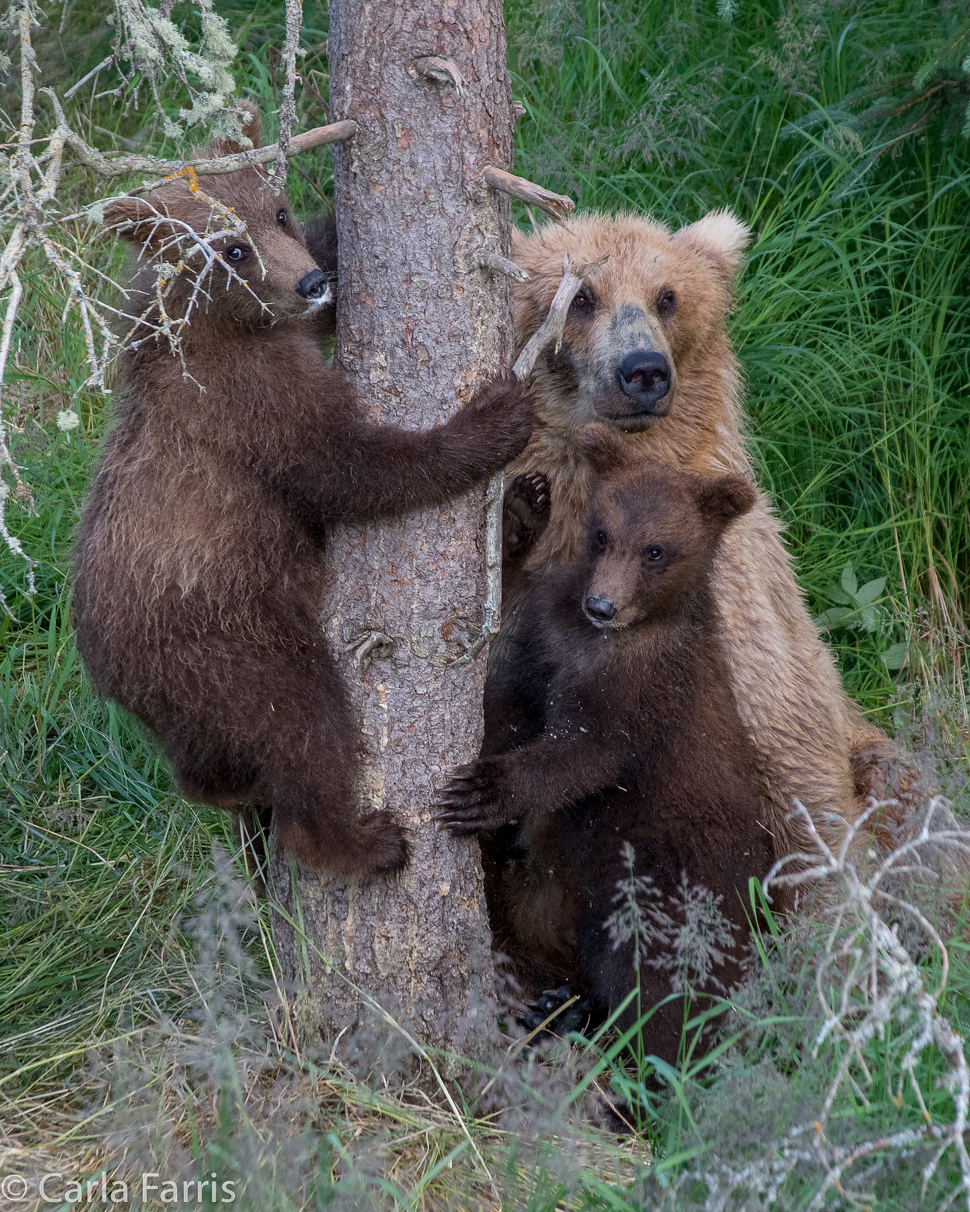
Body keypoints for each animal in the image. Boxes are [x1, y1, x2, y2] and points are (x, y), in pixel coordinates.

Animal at [72, 104, 533, 877]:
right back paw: (364, 840)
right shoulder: (247, 401)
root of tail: (110, 676)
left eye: (279, 212)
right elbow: (348, 468)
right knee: (304, 723)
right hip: (231, 641)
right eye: (232, 250)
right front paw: (493, 420)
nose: (309, 282)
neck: (219, 320)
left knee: (210, 764)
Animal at [438, 429, 771, 1061]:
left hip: (662, 884)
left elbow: (581, 754)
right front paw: (523, 508)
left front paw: (481, 790)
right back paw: (556, 1007)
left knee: (658, 994)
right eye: (602, 534)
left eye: (657, 551)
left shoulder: (647, 690)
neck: (598, 644)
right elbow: (503, 666)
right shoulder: (547, 637)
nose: (603, 606)